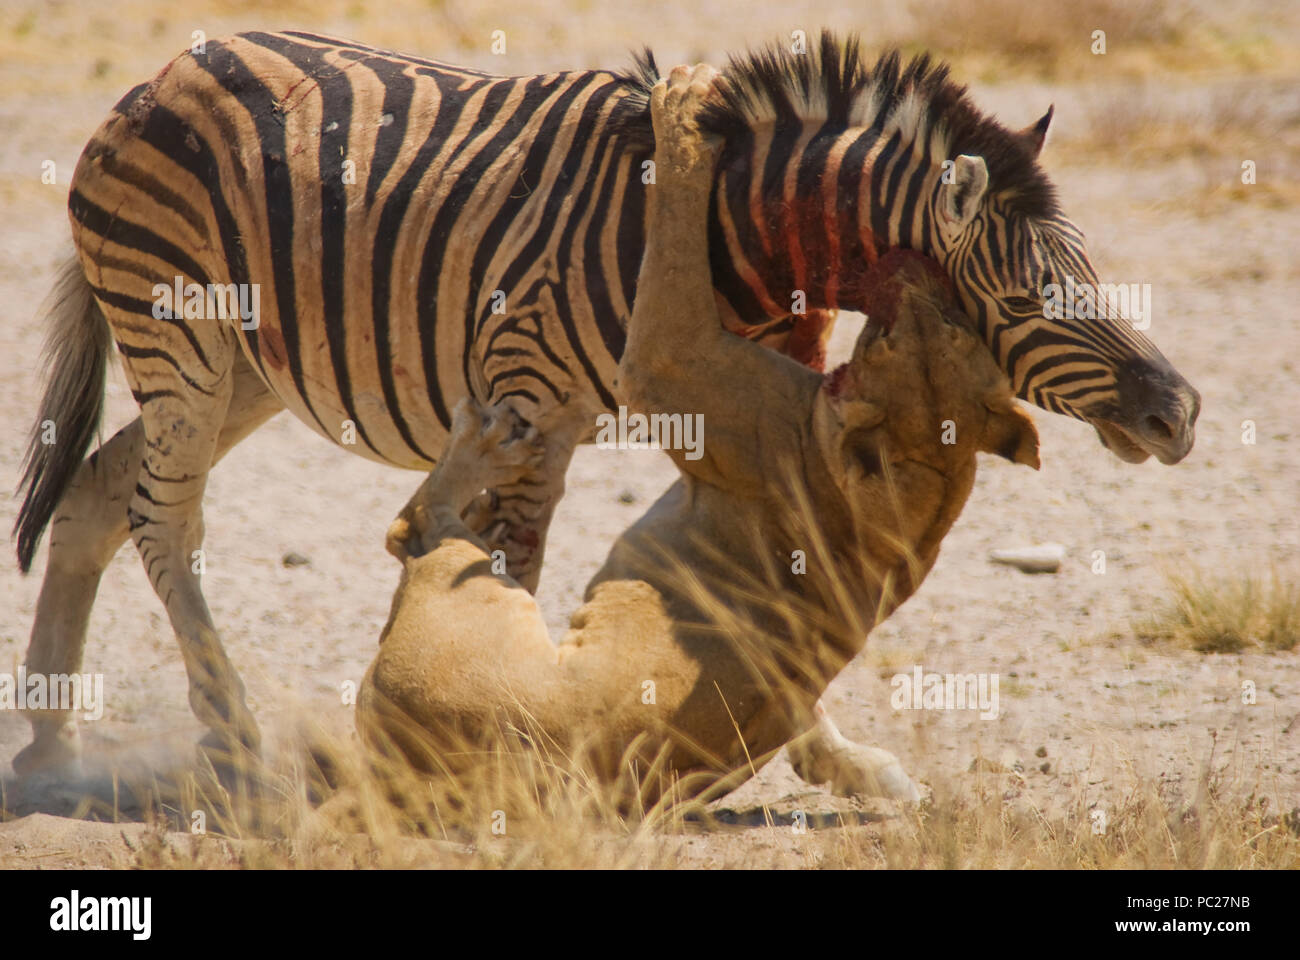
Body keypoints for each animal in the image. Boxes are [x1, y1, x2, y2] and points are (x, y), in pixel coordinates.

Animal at [15, 29, 1201, 770]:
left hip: (249, 369)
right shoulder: (546, 396)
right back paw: (230, 739)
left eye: (1095, 273)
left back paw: (50, 742)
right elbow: (515, 559)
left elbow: (792, 583)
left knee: (95, 491)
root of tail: (168, 68)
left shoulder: (766, 407)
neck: (751, 237)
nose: (1181, 412)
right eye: (1029, 298)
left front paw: (832, 756)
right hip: (181, 337)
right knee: (163, 518)